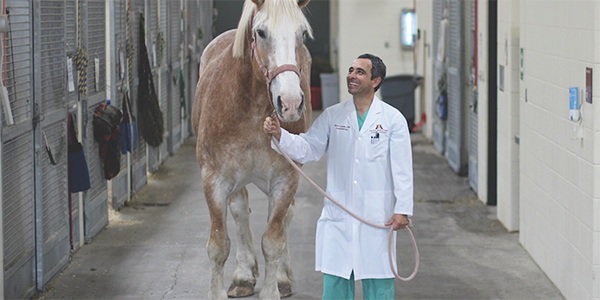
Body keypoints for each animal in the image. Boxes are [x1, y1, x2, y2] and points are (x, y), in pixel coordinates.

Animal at [192, 0, 314, 298]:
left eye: (302, 34)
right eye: (261, 32)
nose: (290, 103)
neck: (251, 110)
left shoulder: (286, 178)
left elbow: (273, 240)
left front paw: (274, 287)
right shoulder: (213, 179)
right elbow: (218, 245)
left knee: (284, 219)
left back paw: (281, 277)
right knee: (239, 212)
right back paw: (243, 275)